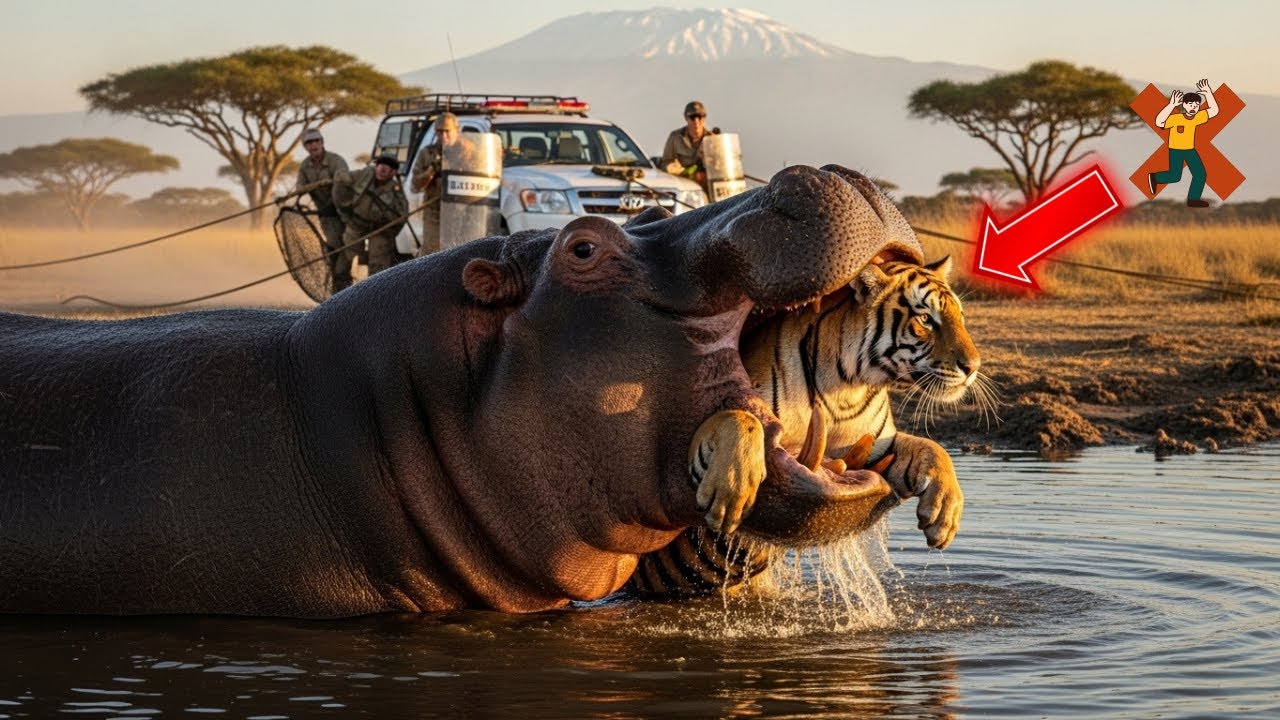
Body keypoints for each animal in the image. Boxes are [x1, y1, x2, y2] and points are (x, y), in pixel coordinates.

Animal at [628, 256, 983, 598]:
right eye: (925, 319)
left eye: (961, 317)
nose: (974, 366)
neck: (848, 389)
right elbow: (742, 417)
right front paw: (730, 494)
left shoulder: (875, 449)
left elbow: (933, 448)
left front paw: (944, 515)